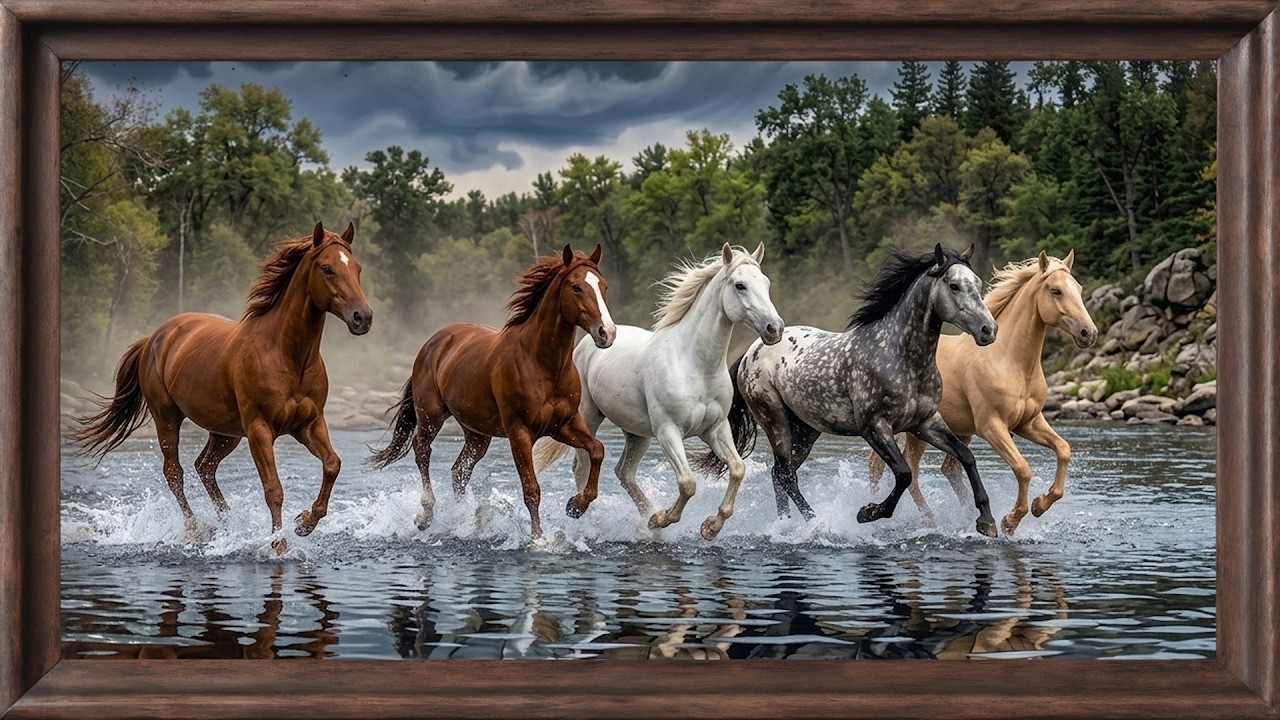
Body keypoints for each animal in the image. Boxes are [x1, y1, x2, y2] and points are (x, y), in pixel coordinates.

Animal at [72, 222, 373, 553]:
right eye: (327, 268)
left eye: (357, 268)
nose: (363, 317)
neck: (287, 356)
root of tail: (154, 337)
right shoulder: (259, 430)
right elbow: (273, 489)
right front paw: (279, 544)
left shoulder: (309, 423)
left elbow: (332, 464)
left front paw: (304, 523)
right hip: (167, 417)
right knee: (175, 472)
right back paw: (195, 531)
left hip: (226, 433)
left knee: (204, 466)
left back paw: (226, 525)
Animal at [368, 245, 617, 540]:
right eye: (576, 287)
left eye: (603, 286)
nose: (607, 333)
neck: (542, 364)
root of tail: (433, 342)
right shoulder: (519, 431)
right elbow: (531, 489)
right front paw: (537, 539)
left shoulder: (564, 425)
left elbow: (597, 450)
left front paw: (575, 506)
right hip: (431, 415)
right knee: (422, 451)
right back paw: (426, 516)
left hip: (477, 434)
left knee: (458, 471)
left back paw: (462, 521)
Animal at [532, 243, 784, 540]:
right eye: (740, 285)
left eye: (766, 283)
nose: (774, 328)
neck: (695, 365)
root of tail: (587, 343)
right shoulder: (668, 431)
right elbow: (687, 483)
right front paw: (662, 519)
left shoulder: (716, 429)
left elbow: (737, 469)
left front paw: (709, 526)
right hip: (588, 419)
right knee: (582, 467)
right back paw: (587, 517)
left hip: (637, 434)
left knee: (624, 472)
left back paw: (645, 518)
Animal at [703, 244, 1000, 537]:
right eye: (954, 285)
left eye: (976, 282)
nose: (989, 329)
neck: (903, 357)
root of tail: (750, 352)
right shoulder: (874, 428)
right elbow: (904, 473)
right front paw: (868, 513)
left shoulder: (926, 423)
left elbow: (966, 457)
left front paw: (986, 521)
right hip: (775, 421)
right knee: (786, 474)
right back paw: (815, 524)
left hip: (806, 430)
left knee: (780, 474)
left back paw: (786, 525)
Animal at [868, 250, 1097, 534]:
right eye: (1056, 291)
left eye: (1078, 288)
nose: (1088, 333)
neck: (1010, 361)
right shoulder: (992, 427)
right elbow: (1023, 468)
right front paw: (1010, 520)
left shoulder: (1029, 423)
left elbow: (1063, 449)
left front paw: (1039, 505)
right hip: (913, 430)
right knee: (901, 469)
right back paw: (926, 518)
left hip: (951, 431)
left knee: (947, 468)